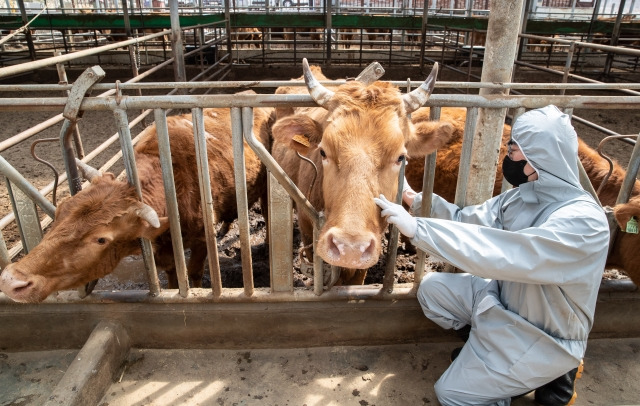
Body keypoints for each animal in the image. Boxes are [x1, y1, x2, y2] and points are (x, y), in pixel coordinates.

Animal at [0, 104, 274, 302]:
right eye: (60, 211)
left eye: (101, 239)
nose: (11, 280)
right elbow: (174, 276)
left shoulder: (200, 239)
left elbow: (194, 273)